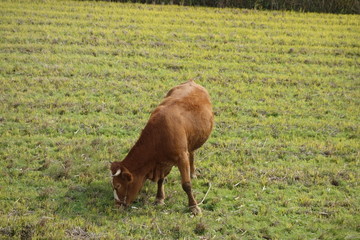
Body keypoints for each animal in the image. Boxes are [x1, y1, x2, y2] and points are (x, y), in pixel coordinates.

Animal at [111, 79, 212, 215]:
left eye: (118, 185)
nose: (117, 206)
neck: (159, 135)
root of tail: (191, 81)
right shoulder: (161, 163)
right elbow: (161, 179)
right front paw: (159, 198)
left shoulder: (181, 157)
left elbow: (186, 185)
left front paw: (193, 206)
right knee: (191, 152)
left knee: (191, 155)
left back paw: (192, 173)